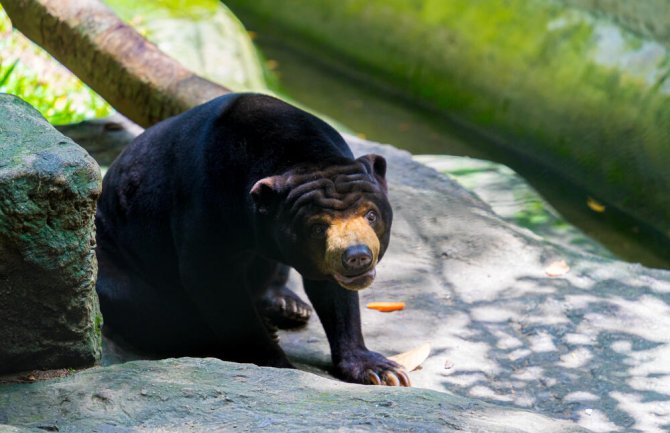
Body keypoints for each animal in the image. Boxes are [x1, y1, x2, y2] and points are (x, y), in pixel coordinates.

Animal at [94, 93, 410, 384]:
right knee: (141, 304)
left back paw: (289, 306)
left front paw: (381, 370)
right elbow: (213, 280)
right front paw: (274, 362)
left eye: (371, 215)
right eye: (318, 228)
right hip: (113, 257)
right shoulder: (206, 204)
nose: (356, 256)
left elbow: (333, 291)